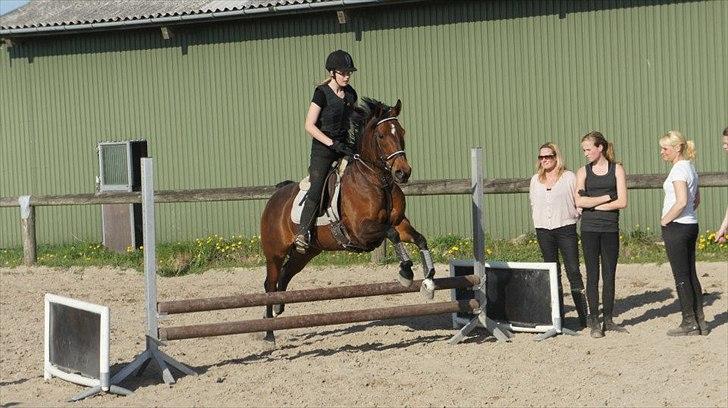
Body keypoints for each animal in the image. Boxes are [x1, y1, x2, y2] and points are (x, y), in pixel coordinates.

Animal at [258, 98, 436, 342]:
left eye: (402, 132)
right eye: (381, 136)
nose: (403, 172)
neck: (376, 180)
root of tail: (275, 197)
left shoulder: (400, 223)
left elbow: (419, 239)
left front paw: (429, 280)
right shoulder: (361, 231)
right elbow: (391, 234)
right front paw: (406, 273)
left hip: (307, 252)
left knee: (285, 276)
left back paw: (278, 309)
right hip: (274, 253)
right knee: (270, 284)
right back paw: (269, 333)